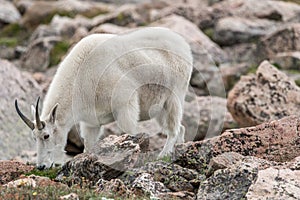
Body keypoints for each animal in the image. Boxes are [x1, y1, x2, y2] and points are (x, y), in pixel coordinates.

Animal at [14, 27, 192, 170]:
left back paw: (163, 155)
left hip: (174, 96)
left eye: (46, 136)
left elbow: (131, 134)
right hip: (159, 107)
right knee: (181, 128)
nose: (41, 167)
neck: (81, 77)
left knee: (174, 129)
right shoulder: (91, 122)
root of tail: (184, 44)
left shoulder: (125, 105)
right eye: (34, 138)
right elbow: (89, 146)